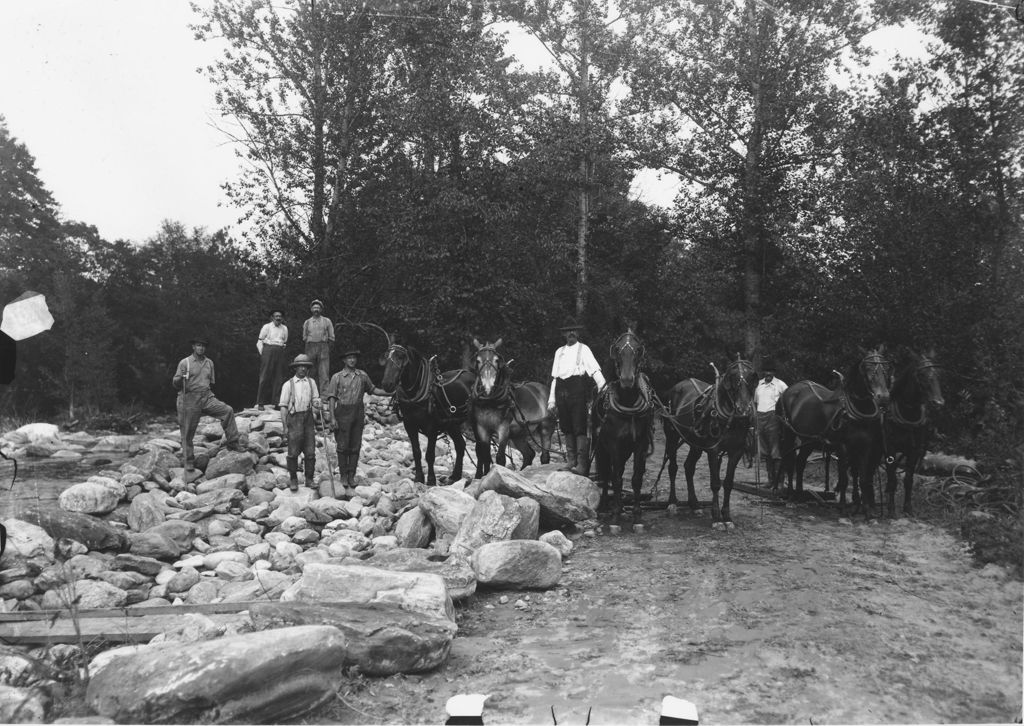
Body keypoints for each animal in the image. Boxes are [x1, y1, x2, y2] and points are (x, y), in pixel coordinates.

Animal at [380, 337, 475, 483]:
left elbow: (430, 454)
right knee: (460, 445)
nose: (387, 384)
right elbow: (416, 452)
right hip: (452, 424)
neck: (415, 394)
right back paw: (455, 476)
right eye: (386, 357)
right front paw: (419, 477)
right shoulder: (410, 426)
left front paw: (431, 479)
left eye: (401, 356)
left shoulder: (433, 427)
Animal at [468, 337, 557, 479]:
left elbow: (500, 458)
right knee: (529, 454)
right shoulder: (482, 428)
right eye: (478, 361)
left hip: (546, 428)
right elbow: (484, 455)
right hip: (519, 434)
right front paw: (481, 477)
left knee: (544, 456)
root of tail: (545, 389)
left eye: (496, 360)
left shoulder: (503, 429)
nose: (488, 386)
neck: (490, 401)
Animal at [593, 327, 655, 528]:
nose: (627, 380)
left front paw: (636, 515)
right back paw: (605, 506)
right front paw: (615, 516)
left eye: (637, 350)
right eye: (618, 350)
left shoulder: (640, 445)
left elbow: (636, 479)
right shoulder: (614, 445)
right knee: (606, 475)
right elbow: (616, 478)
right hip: (601, 447)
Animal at [659, 356, 757, 528]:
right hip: (671, 435)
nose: (743, 409)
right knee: (673, 467)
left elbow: (729, 483)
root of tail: (678, 385)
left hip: (696, 443)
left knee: (689, 467)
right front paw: (717, 518)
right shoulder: (713, 449)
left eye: (752, 377)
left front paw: (727, 516)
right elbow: (716, 483)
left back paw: (695, 504)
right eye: (733, 377)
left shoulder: (736, 451)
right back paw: (672, 503)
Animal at [880, 350, 942, 516]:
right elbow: (893, 478)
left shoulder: (913, 451)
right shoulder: (890, 449)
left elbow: (908, 480)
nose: (938, 403)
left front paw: (908, 508)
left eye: (937, 374)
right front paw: (891, 509)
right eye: (921, 374)